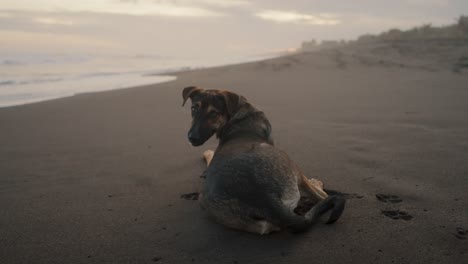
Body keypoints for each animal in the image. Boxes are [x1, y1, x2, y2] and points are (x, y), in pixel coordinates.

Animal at [182, 87, 344, 235]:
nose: (192, 138)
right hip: (287, 159)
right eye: (193, 109)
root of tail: (267, 200)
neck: (238, 114)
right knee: (322, 195)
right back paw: (317, 183)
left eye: (213, 113)